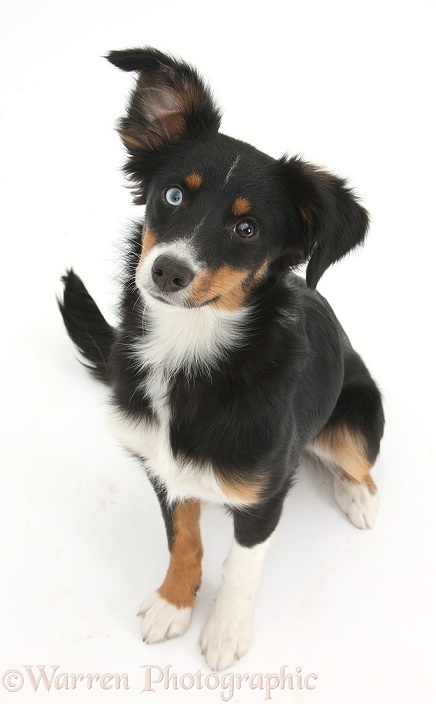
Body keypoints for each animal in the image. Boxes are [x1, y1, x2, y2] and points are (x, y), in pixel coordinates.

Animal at [58, 49, 384, 672]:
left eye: (246, 228)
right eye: (173, 196)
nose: (168, 271)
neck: (189, 352)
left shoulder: (262, 500)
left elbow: (241, 566)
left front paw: (225, 632)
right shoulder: (162, 470)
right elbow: (183, 540)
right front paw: (173, 603)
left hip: (356, 415)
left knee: (358, 465)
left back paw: (357, 496)